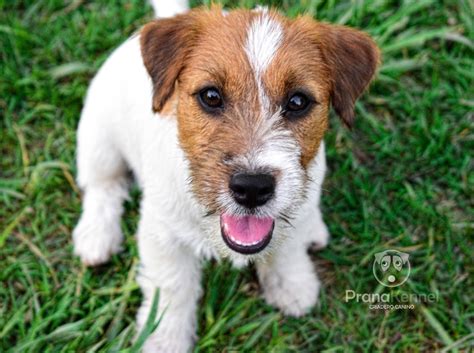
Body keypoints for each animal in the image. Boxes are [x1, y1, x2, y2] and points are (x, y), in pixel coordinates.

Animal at [72, 0, 380, 350]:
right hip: (99, 140)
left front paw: (292, 286)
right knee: (102, 187)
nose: (252, 188)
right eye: (211, 96)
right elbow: (172, 287)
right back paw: (96, 236)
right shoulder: (162, 235)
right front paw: (165, 338)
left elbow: (287, 251)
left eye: (298, 101)